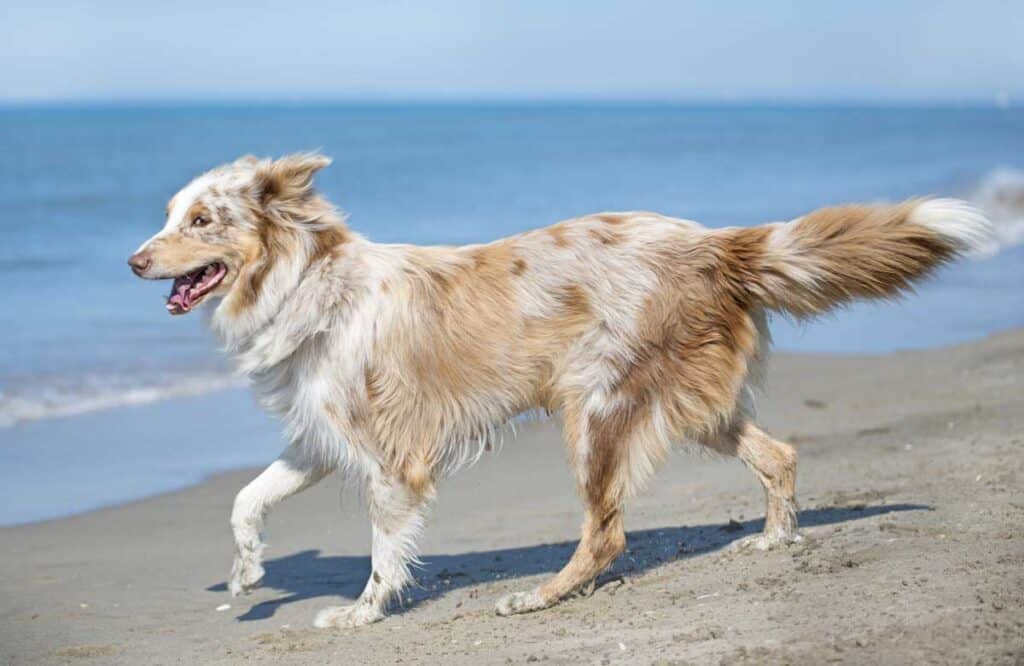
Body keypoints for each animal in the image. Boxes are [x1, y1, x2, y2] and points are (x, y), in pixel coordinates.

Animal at [128, 152, 991, 627]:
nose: (134, 261)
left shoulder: (390, 458)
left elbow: (382, 552)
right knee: (778, 453)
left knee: (606, 533)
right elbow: (246, 498)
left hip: (597, 409)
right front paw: (248, 573)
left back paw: (540, 598)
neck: (310, 283)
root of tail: (711, 241)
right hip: (691, 403)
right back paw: (773, 540)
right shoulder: (321, 436)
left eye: (202, 220)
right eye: (169, 215)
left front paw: (361, 614)